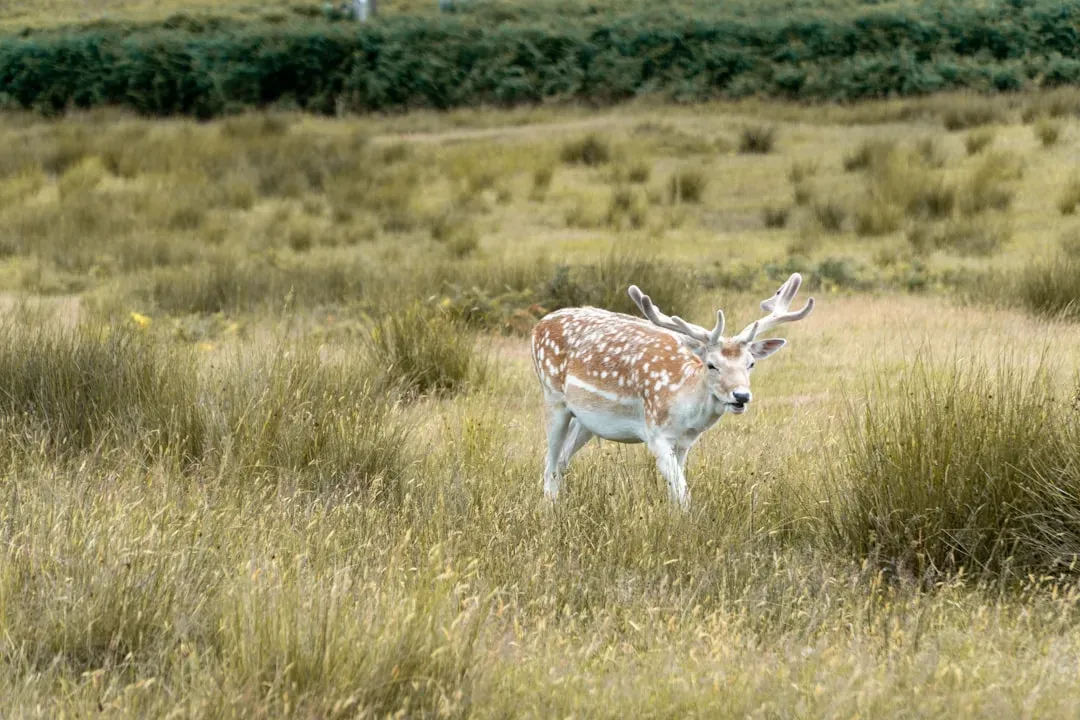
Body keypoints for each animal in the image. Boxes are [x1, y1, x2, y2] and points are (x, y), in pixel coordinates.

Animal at [529, 273, 814, 509]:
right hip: (553, 397)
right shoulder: (656, 435)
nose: (741, 396)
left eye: (751, 363)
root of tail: (538, 325)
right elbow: (683, 493)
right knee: (549, 461)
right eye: (711, 364)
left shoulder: (684, 443)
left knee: (562, 460)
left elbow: (676, 491)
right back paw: (550, 511)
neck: (685, 411)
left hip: (586, 421)